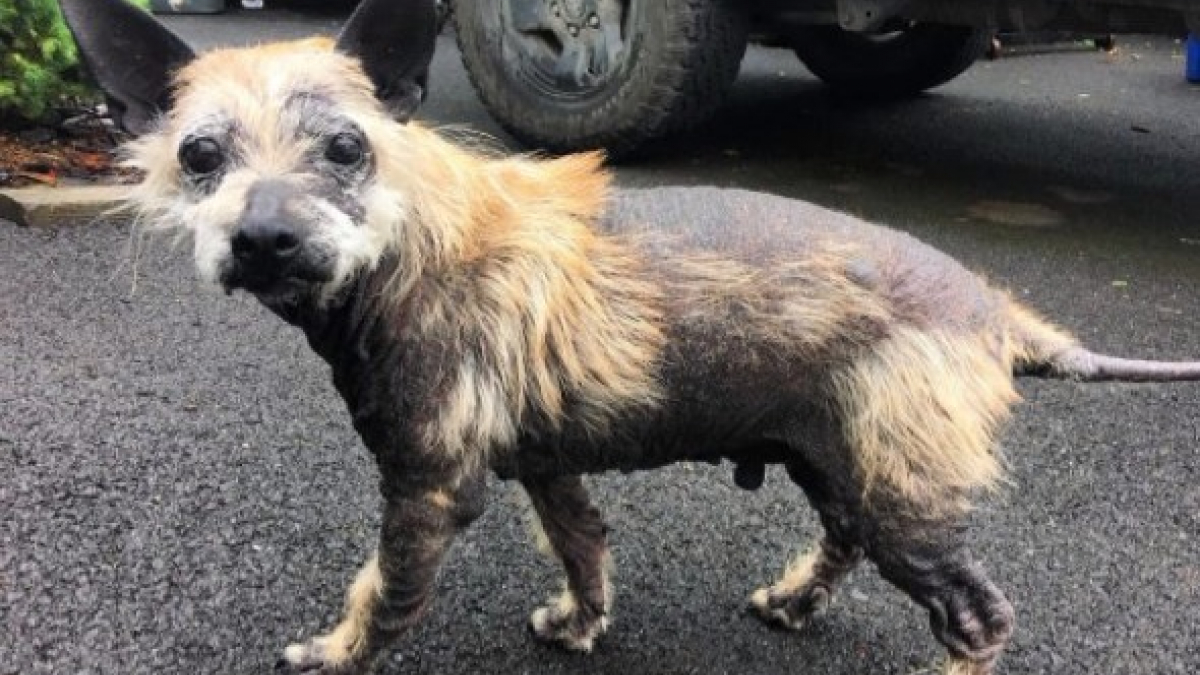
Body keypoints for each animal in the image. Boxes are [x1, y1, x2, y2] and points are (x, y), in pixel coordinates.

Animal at [63, 1, 1200, 672]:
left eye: (345, 148)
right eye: (200, 155)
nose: (262, 238)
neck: (404, 242)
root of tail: (994, 307)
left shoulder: (430, 486)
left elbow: (383, 589)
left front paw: (339, 651)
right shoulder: (543, 463)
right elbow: (583, 547)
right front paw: (580, 624)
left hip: (907, 504)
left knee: (982, 615)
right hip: (845, 463)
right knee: (843, 541)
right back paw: (793, 599)